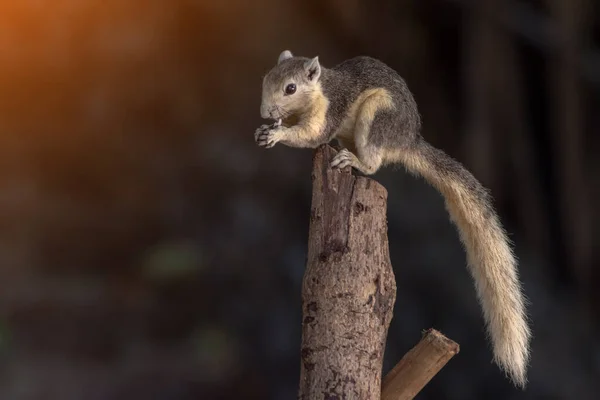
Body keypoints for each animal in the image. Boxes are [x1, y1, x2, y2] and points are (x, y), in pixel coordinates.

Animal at [253, 49, 528, 388]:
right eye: (267, 78)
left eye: (291, 88)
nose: (265, 111)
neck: (320, 90)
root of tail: (408, 141)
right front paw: (265, 130)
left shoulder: (329, 110)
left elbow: (313, 134)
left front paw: (278, 132)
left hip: (377, 117)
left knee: (372, 163)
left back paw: (353, 161)